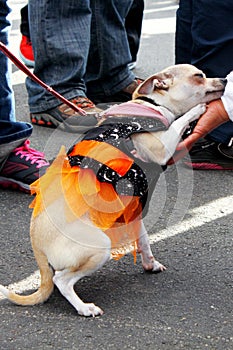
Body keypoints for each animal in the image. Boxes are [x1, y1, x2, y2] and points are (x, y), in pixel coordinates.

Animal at [0, 64, 226, 316]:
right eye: (199, 76)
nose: (226, 79)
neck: (153, 105)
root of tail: (38, 249)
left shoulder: (135, 211)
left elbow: (144, 240)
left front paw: (150, 263)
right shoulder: (161, 146)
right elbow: (178, 122)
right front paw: (197, 110)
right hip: (99, 247)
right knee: (62, 281)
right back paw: (84, 308)